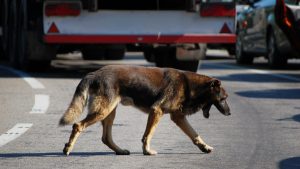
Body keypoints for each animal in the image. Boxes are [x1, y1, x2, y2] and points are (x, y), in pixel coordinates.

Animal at [59, 64, 231, 156]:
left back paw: (120, 150)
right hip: (103, 111)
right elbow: (148, 135)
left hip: (109, 112)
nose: (230, 113)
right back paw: (68, 148)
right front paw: (147, 151)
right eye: (224, 98)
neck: (190, 85)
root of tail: (94, 73)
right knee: (78, 125)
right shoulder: (157, 111)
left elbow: (194, 134)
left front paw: (204, 147)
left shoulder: (178, 117)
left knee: (106, 137)